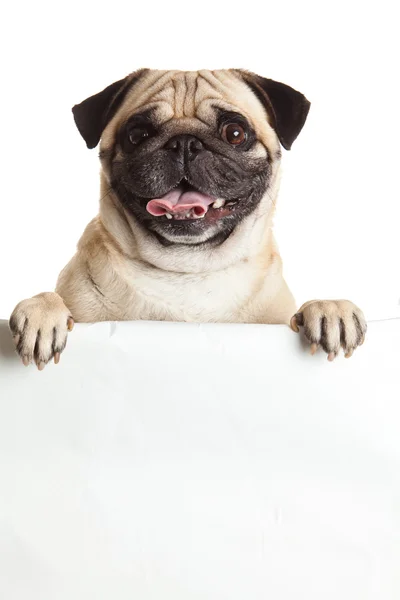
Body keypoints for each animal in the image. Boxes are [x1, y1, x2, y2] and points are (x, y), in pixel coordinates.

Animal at [9, 67, 368, 366]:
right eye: (137, 135)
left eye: (235, 133)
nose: (184, 143)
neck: (189, 267)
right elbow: (51, 299)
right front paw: (41, 312)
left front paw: (329, 308)